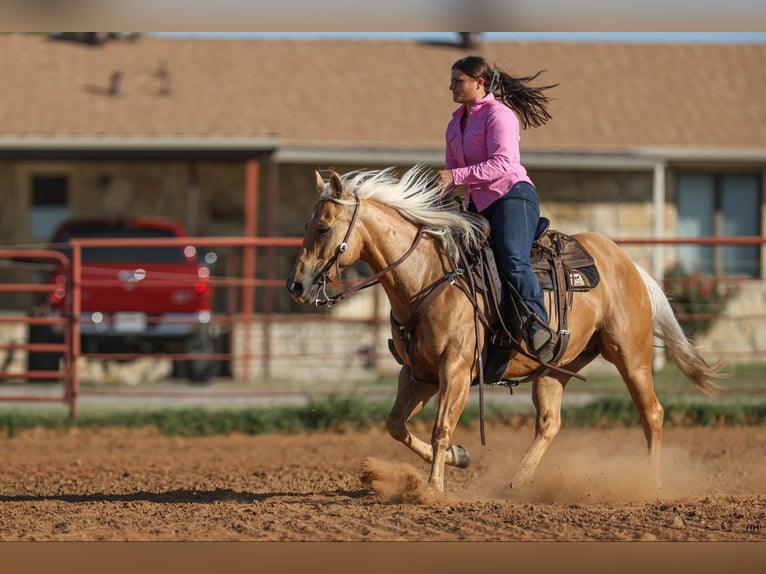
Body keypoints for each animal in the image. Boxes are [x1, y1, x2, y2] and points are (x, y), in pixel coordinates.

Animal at [285, 165, 721, 494]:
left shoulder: (456, 370)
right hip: (554, 369)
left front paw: (432, 489)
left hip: (631, 356)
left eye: (323, 228)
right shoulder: (418, 375)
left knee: (652, 414)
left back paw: (650, 483)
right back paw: (515, 483)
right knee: (549, 423)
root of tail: (627, 264)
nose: (297, 285)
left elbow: (442, 427)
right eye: (306, 224)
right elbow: (397, 425)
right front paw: (459, 459)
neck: (428, 276)